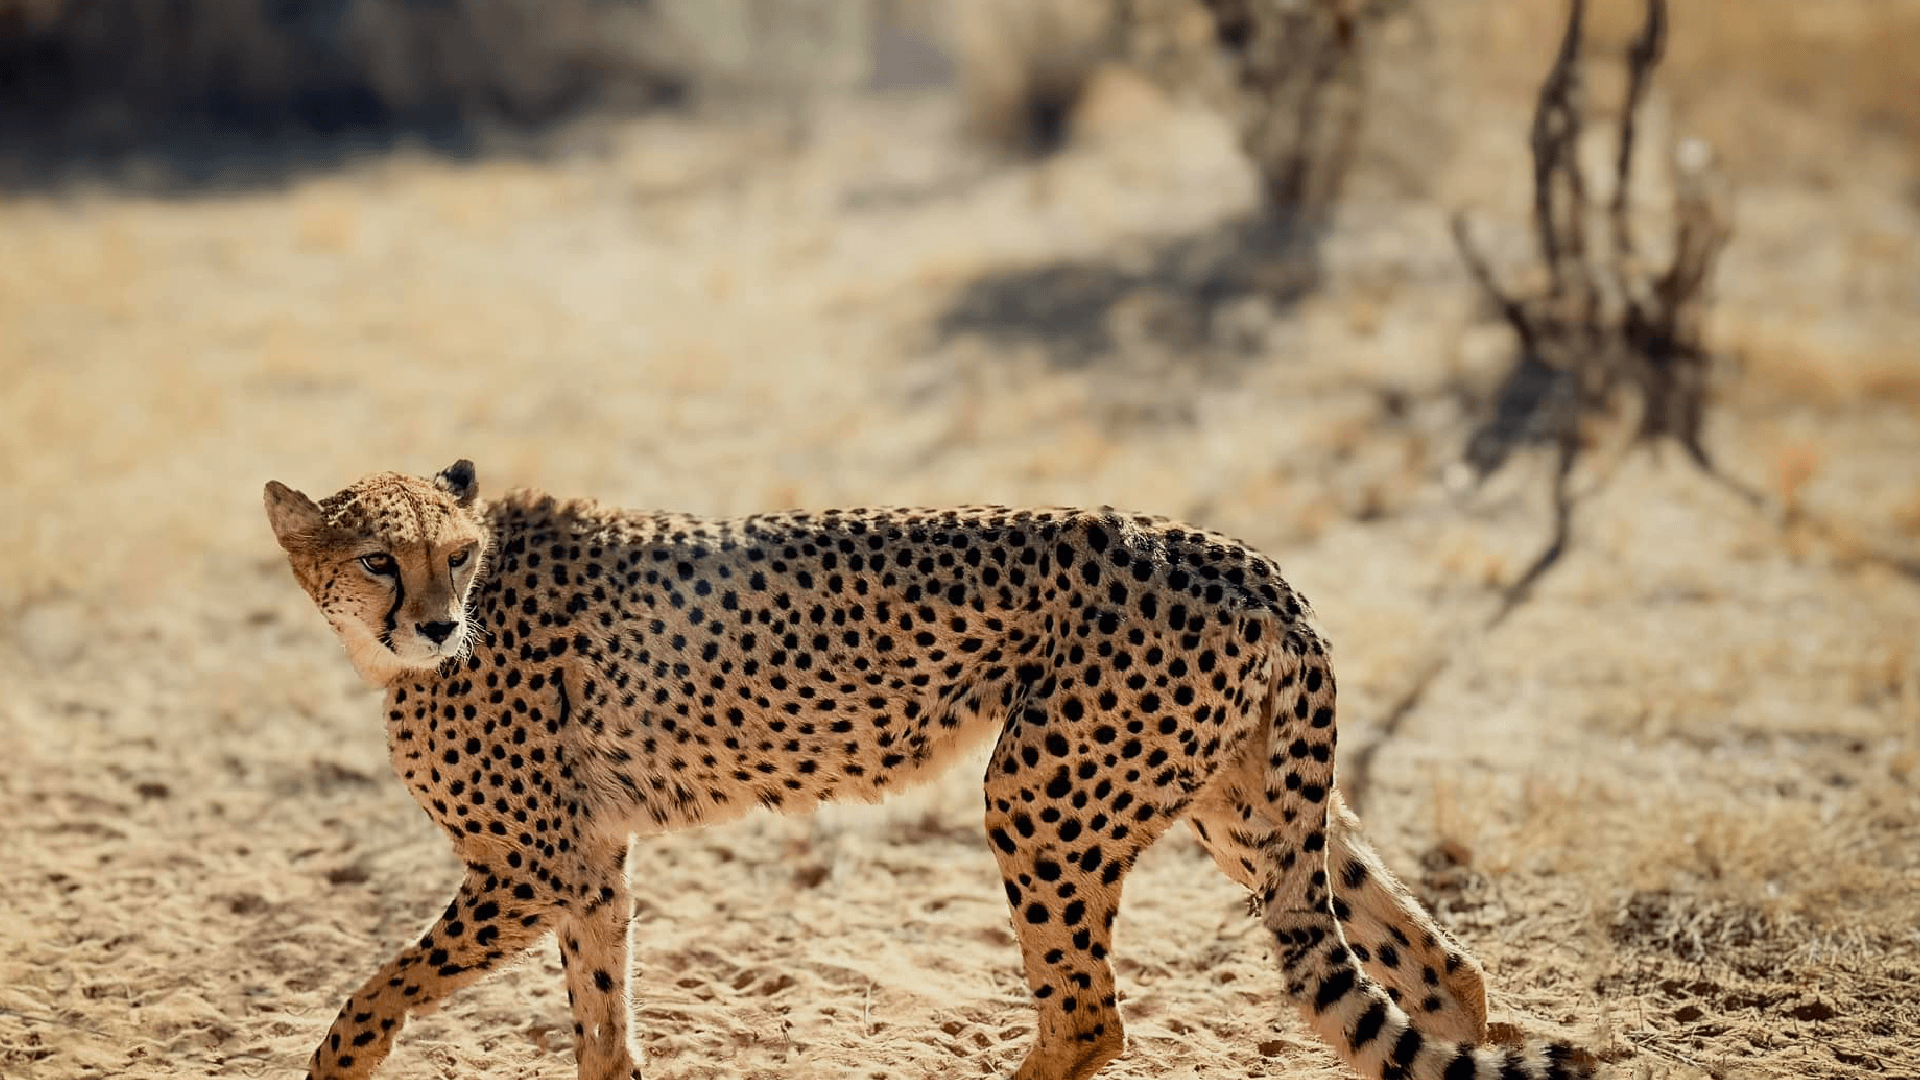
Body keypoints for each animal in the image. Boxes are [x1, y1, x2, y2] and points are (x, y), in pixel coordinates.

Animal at [264, 460, 1595, 1080]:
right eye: (379, 560)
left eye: (456, 555)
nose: (436, 624)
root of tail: (1242, 553)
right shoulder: (586, 867)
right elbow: (602, 1025)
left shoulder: (531, 866)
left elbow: (378, 990)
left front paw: (339, 1062)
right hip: (1239, 804)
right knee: (1438, 966)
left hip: (1042, 794)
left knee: (1090, 1014)